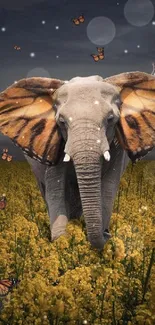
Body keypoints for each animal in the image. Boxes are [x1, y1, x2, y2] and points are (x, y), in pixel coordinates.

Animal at [0, 71, 154, 248]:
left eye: (110, 119)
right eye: (61, 122)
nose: (107, 233)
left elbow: (109, 185)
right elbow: (55, 184)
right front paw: (62, 240)